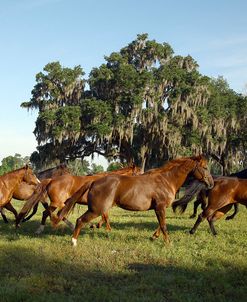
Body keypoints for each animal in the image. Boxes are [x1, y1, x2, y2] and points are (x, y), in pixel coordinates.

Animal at [55, 155, 213, 247]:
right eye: (205, 167)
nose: (211, 183)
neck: (166, 180)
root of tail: (93, 181)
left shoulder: (159, 208)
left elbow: (160, 224)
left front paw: (154, 237)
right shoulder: (160, 207)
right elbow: (163, 225)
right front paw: (168, 243)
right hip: (96, 210)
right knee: (80, 220)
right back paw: (73, 242)